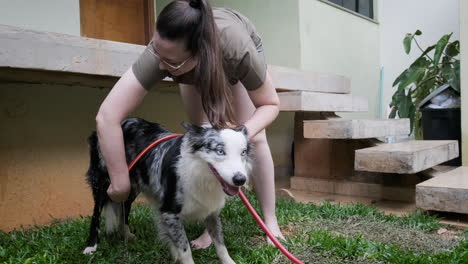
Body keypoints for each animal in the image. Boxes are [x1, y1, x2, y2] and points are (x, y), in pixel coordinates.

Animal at [83, 118, 252, 264]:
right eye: (220, 151)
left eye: (243, 153)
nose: (240, 179)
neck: (199, 172)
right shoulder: (169, 212)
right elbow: (185, 249)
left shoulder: (211, 212)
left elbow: (220, 245)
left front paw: (230, 262)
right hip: (104, 183)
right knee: (96, 215)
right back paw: (91, 246)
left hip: (131, 186)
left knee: (125, 206)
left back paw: (126, 234)